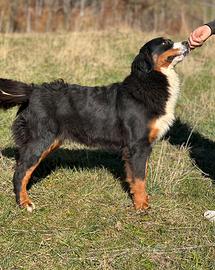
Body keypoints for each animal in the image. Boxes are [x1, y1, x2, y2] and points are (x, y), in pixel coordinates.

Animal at [0, 37, 188, 212]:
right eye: (165, 43)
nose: (187, 42)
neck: (148, 83)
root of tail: (33, 90)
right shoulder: (138, 145)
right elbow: (140, 178)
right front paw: (141, 206)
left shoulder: (140, 147)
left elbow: (136, 176)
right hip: (40, 140)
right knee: (20, 172)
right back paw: (24, 202)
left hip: (50, 141)